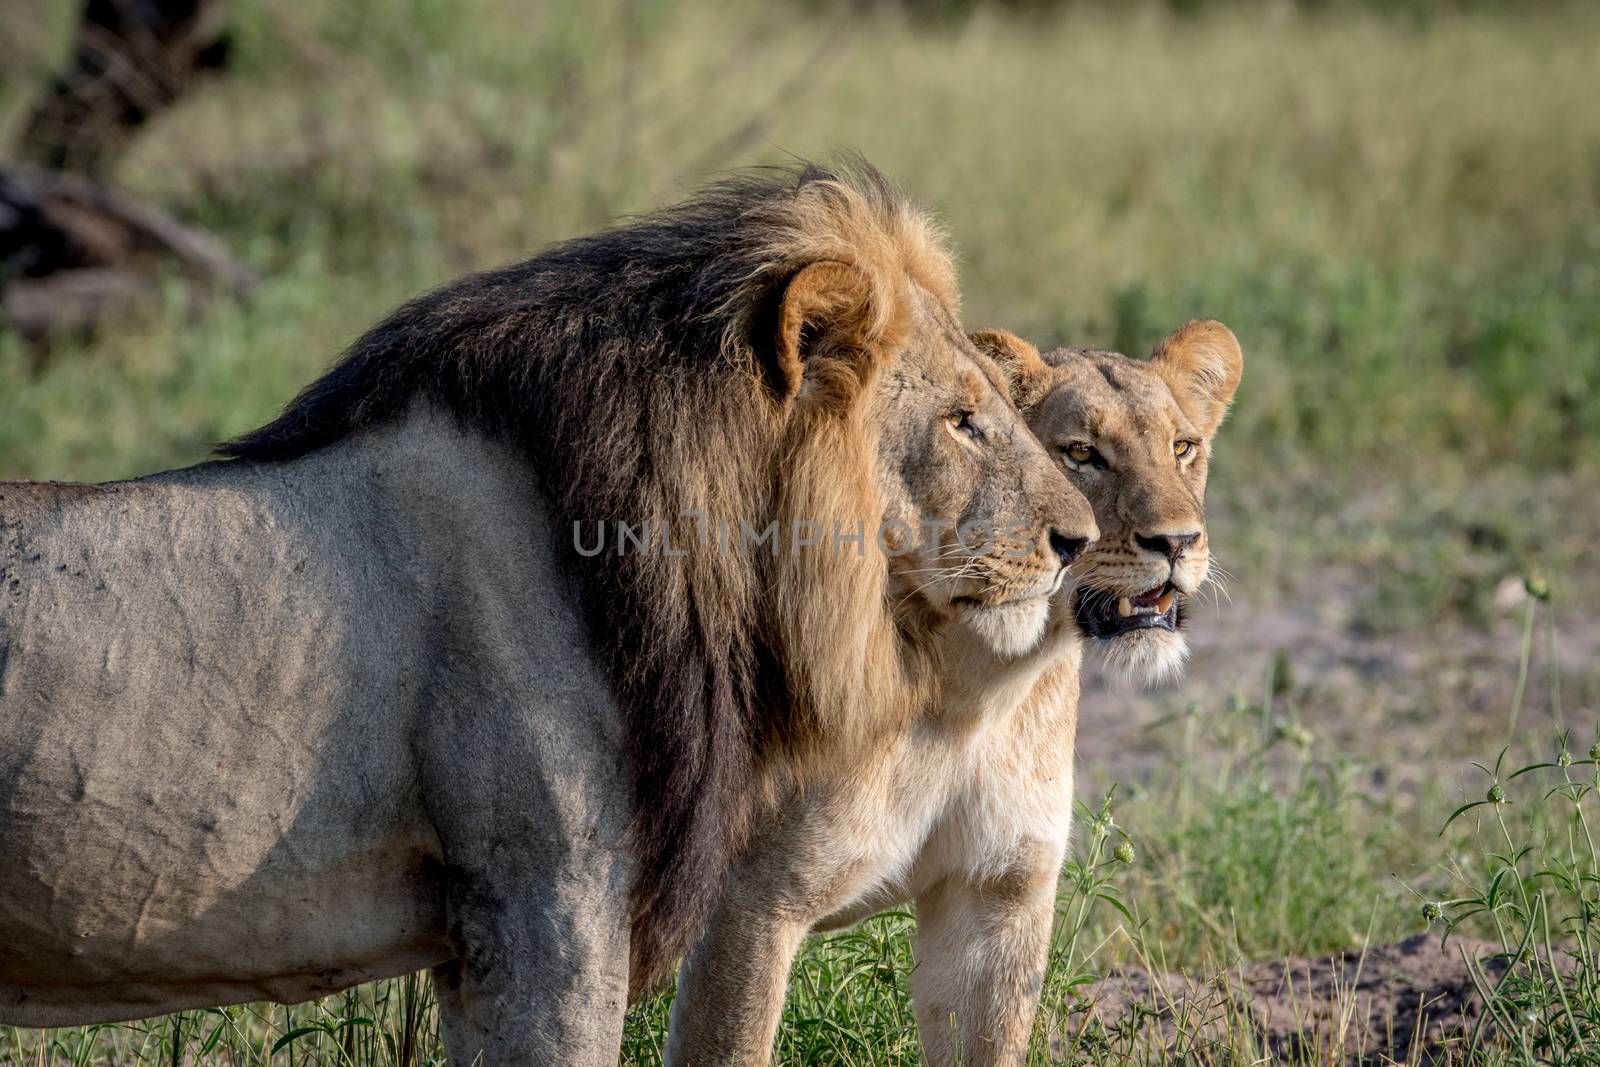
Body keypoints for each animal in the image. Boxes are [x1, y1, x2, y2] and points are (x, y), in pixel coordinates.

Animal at [668, 319, 1241, 1067]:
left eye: (1182, 447)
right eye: (1080, 453)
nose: (1178, 542)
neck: (973, 691)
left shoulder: (997, 899)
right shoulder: (749, 906)